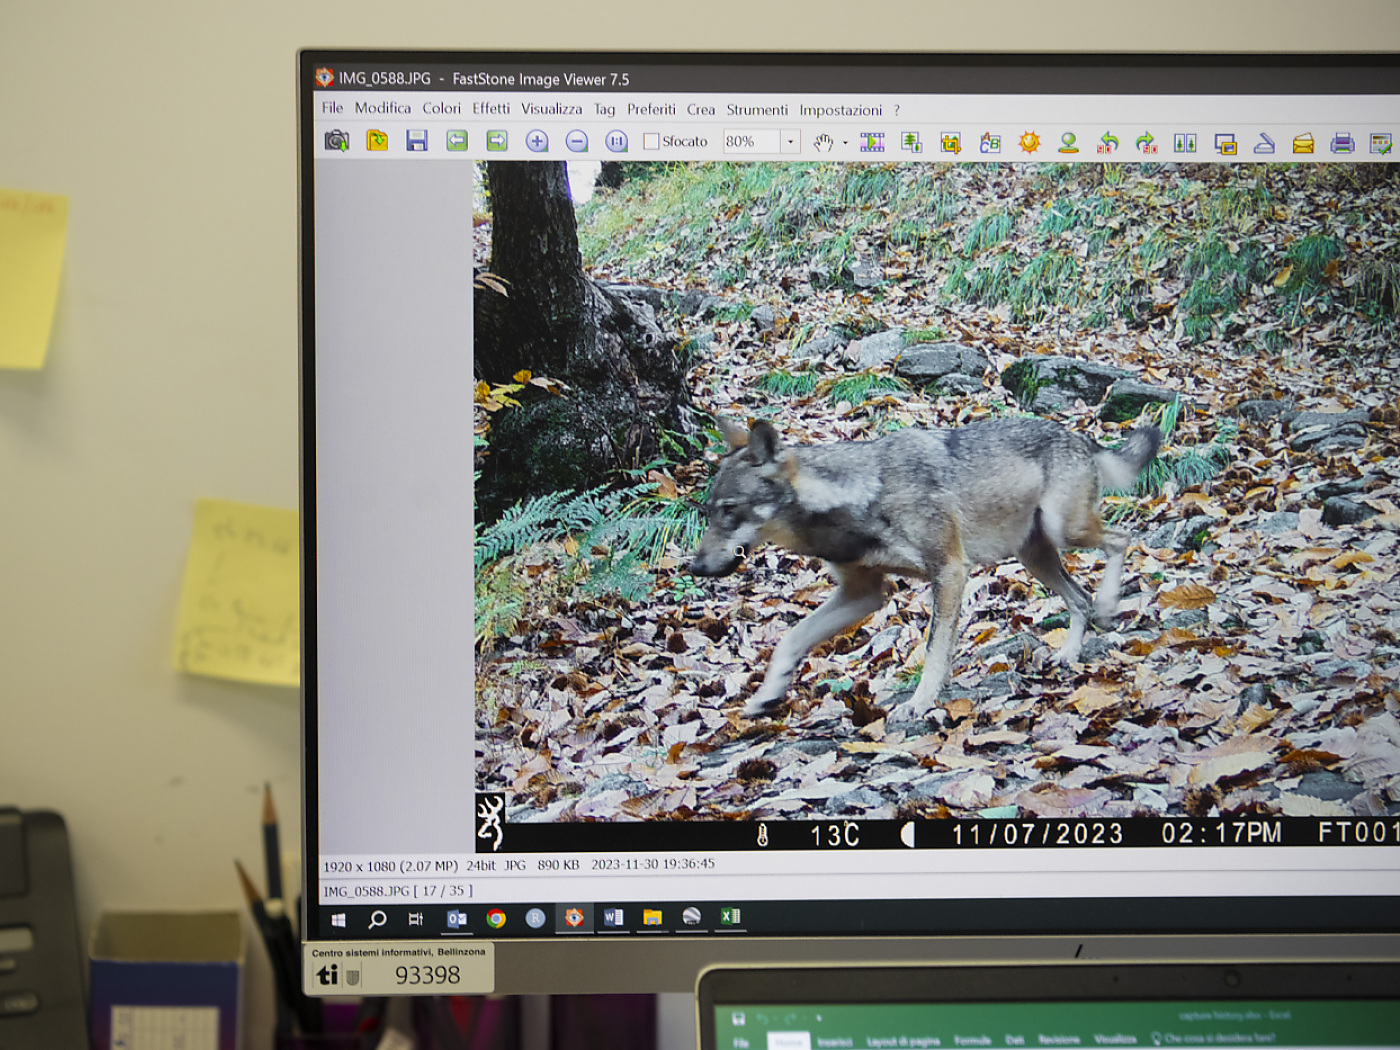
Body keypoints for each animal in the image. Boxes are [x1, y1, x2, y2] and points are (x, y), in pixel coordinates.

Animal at [689, 416, 1161, 719]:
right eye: (707, 512)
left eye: (729, 510)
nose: (695, 568)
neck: (856, 499)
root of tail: (1078, 435)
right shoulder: (865, 594)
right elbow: (789, 639)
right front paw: (766, 696)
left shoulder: (949, 571)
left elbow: (934, 649)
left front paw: (919, 702)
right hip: (1035, 556)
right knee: (1078, 597)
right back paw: (1069, 652)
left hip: (1067, 532)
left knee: (1122, 540)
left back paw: (1108, 605)